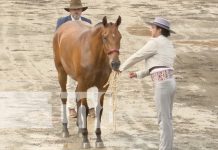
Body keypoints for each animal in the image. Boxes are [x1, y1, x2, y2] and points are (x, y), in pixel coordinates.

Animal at [52, 16, 122, 148]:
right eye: (105, 37)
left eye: (120, 37)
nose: (115, 63)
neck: (94, 55)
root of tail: (61, 29)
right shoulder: (83, 84)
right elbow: (84, 108)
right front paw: (85, 139)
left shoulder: (102, 88)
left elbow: (99, 109)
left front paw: (98, 138)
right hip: (61, 73)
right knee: (64, 97)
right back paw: (65, 129)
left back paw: (79, 129)